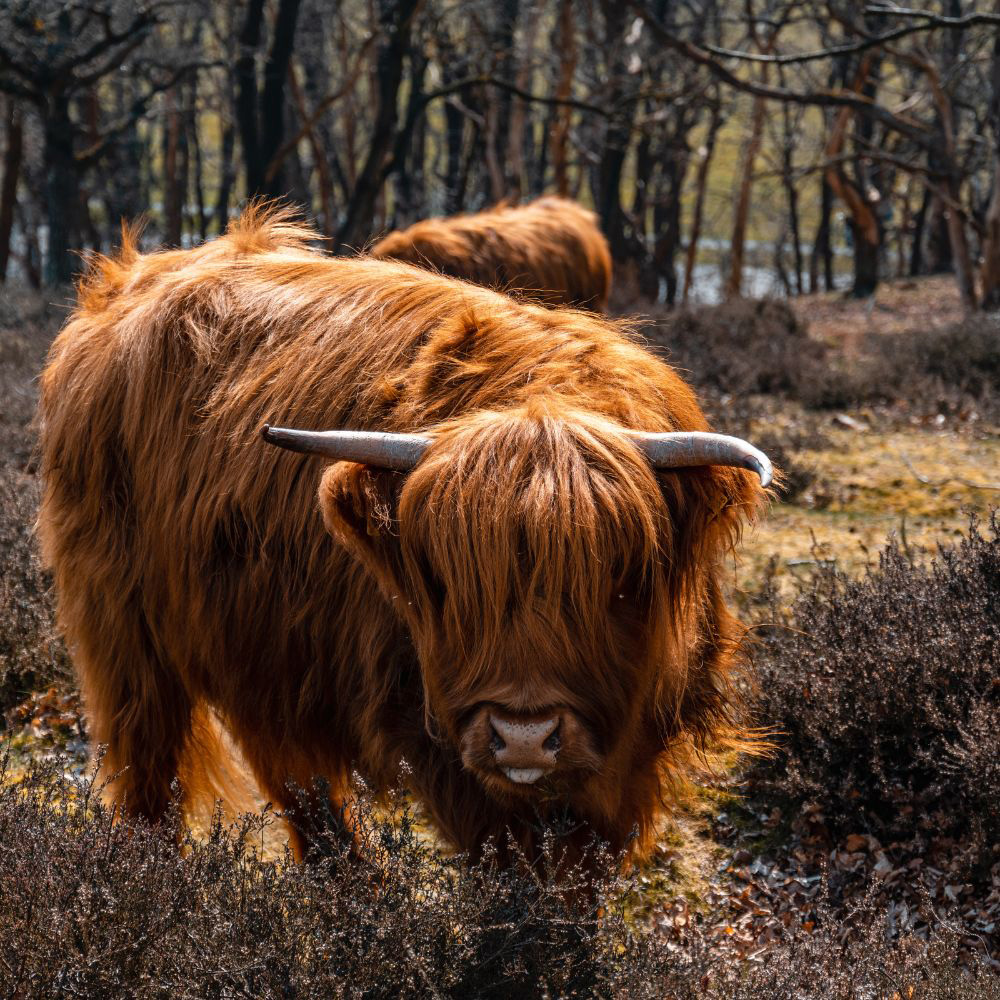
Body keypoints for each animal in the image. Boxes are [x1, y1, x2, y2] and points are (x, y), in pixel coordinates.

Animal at [37, 205, 772, 868]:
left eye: (621, 581)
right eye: (445, 584)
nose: (524, 737)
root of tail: (129, 280)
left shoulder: (635, 744)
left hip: (256, 647)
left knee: (294, 781)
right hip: (122, 629)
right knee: (149, 759)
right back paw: (147, 875)